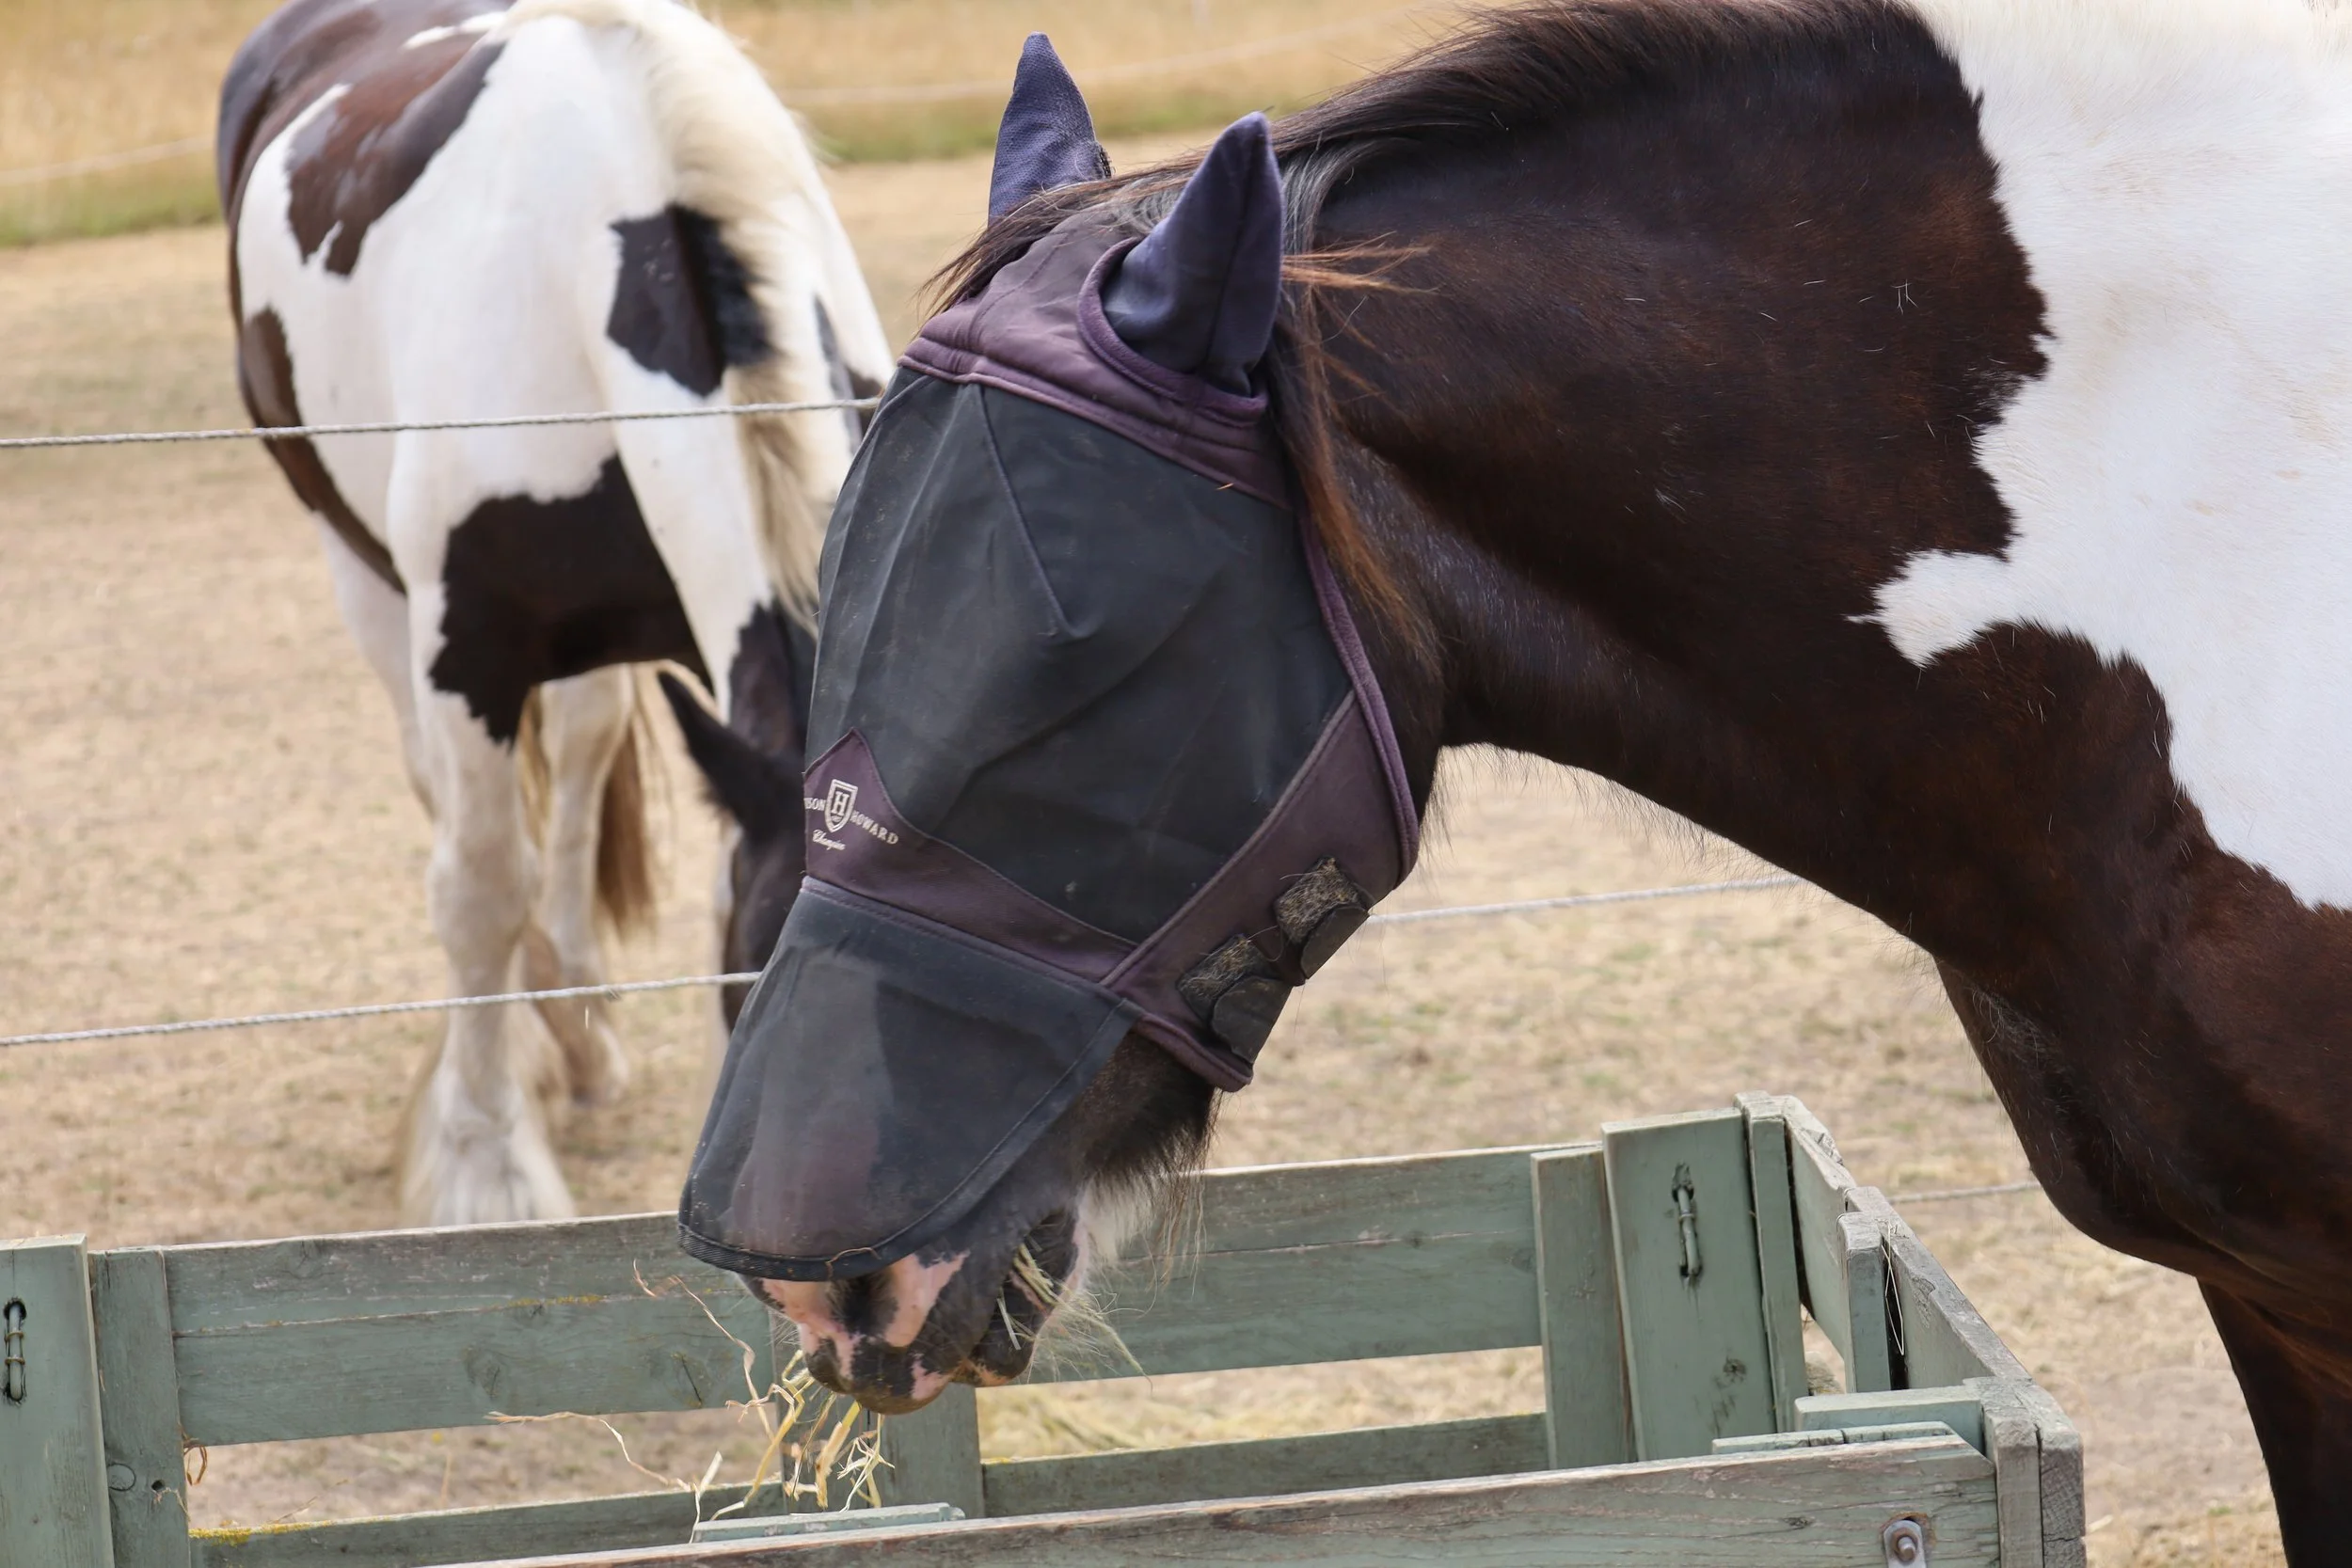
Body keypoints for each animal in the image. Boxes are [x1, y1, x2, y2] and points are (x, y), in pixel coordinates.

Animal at [217, 0, 889, 1225]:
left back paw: (576, 1024)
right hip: (359, 568)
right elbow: (481, 885)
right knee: (451, 803)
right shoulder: (468, 649)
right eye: (765, 984)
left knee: (576, 775)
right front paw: (488, 1163)